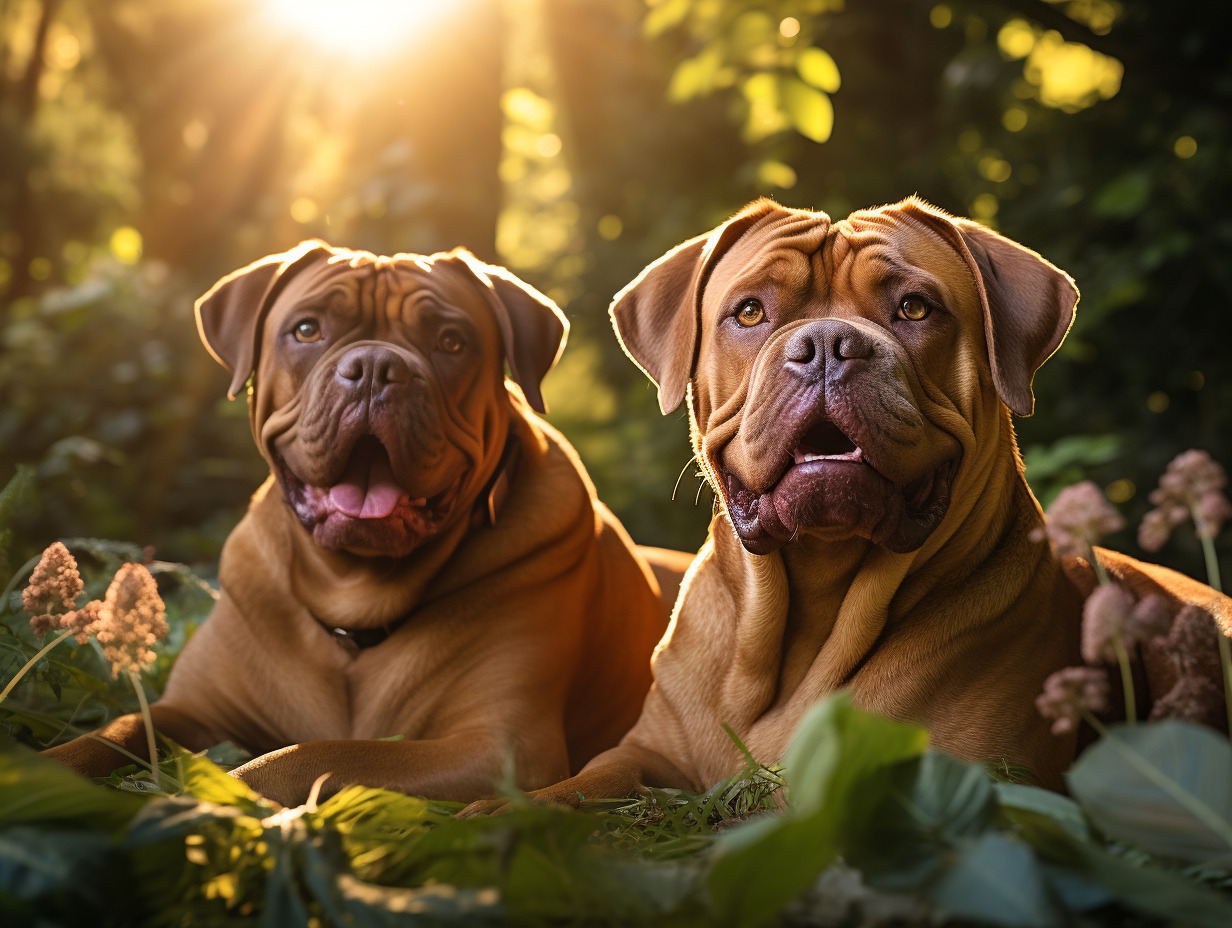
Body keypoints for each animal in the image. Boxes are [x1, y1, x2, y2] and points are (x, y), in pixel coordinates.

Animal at [38, 239, 689, 803]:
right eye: (306, 329)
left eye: (452, 341)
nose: (375, 366)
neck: (351, 596)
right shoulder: (188, 710)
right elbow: (108, 734)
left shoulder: (499, 745)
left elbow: (320, 753)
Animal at [463, 197, 1232, 808]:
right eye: (750, 311)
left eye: (915, 307)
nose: (828, 344)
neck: (810, 609)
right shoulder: (646, 753)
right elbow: (582, 783)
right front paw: (499, 815)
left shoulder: (975, 774)